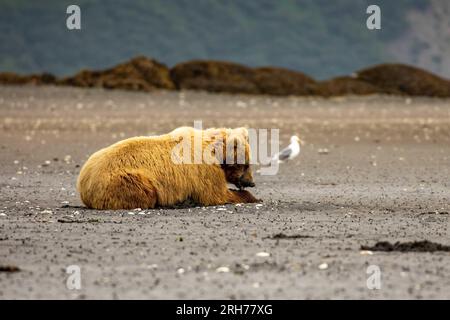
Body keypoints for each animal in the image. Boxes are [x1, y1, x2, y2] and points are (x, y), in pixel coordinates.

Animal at [77, 125, 258, 210]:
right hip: (124, 180)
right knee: (144, 193)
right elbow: (216, 194)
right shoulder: (203, 169)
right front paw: (252, 197)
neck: (215, 151)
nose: (251, 182)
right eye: (246, 165)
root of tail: (83, 181)